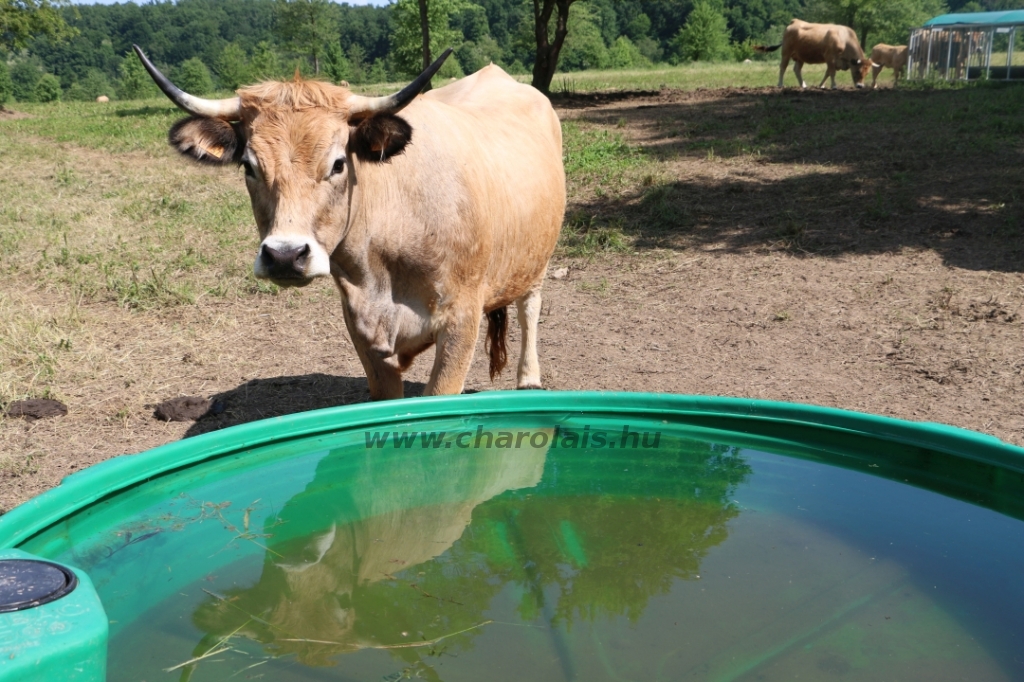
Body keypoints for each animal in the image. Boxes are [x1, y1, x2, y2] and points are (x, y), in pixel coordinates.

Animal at [132, 45, 565, 399]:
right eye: (249, 166)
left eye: (338, 163)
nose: (285, 256)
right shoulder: (360, 325)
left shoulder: (461, 318)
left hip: (537, 258)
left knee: (530, 306)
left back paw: (529, 378)